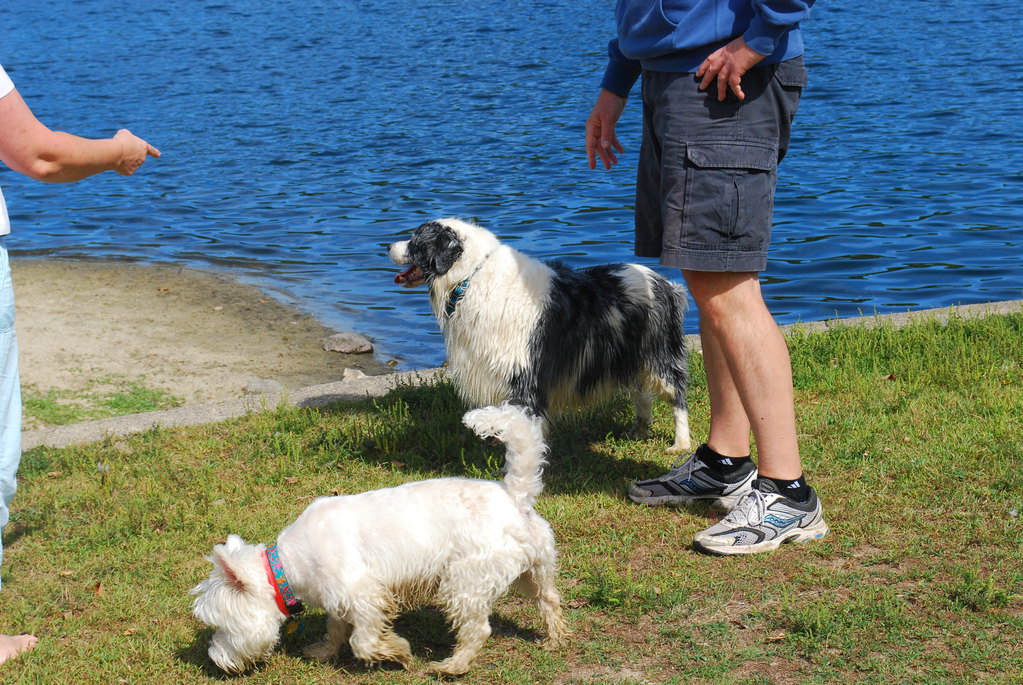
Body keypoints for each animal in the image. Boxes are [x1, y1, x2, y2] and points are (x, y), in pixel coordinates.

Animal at [190, 404, 568, 678]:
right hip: (535, 569)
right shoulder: (339, 598)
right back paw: (554, 639)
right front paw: (324, 651)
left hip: (465, 582)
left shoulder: (365, 593)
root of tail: (514, 495)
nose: (214, 659)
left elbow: (362, 640)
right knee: (549, 600)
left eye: (218, 626)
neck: (287, 564)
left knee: (478, 629)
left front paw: (397, 651)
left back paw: (452, 666)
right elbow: (336, 629)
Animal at [390, 219, 695, 453]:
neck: (470, 277)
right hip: (627, 356)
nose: (388, 246)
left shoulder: (525, 374)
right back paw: (638, 430)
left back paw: (680, 444)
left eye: (416, 240)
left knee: (677, 396)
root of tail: (667, 284)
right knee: (640, 393)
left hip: (660, 355)